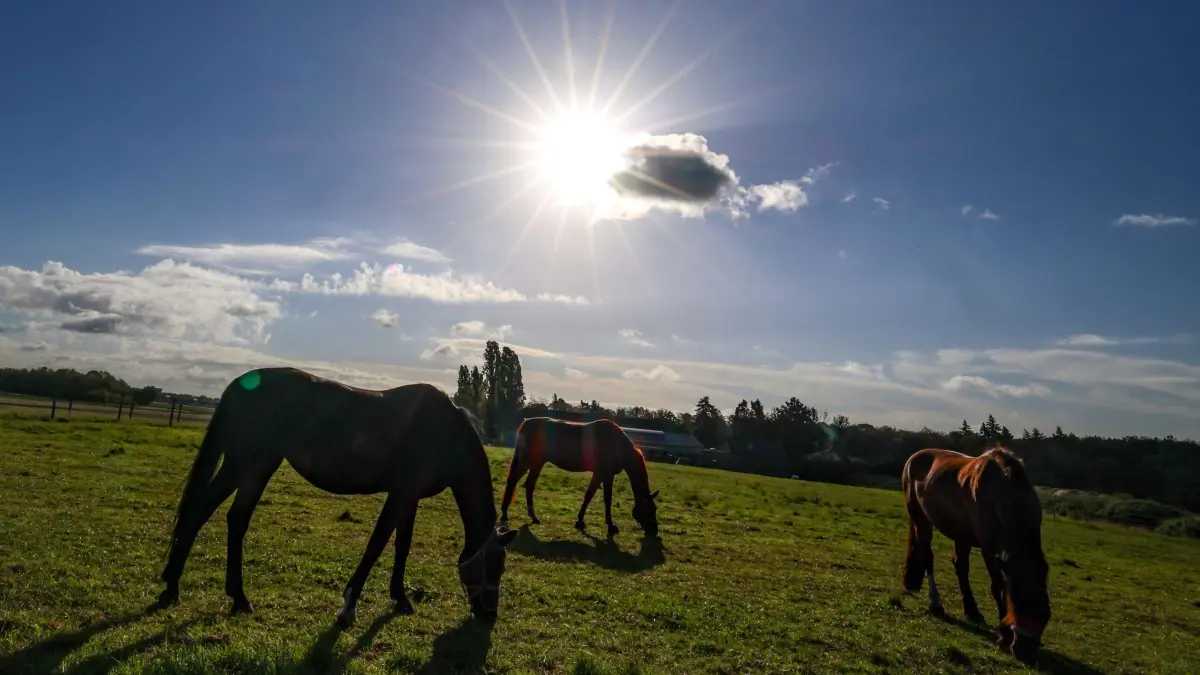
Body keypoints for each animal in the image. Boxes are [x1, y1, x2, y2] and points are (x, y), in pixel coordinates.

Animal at [157, 367, 518, 627]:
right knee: (201, 512)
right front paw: (348, 608)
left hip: (257, 467)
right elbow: (377, 543)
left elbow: (402, 545)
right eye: (495, 566)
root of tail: (239, 385)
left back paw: (232, 597)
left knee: (233, 518)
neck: (444, 431)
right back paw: (174, 589)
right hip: (244, 463)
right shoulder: (401, 493)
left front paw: (401, 599)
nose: (489, 613)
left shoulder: (410, 496)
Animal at [500, 417, 660, 538]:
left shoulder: (606, 475)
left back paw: (533, 516)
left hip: (538, 462)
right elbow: (592, 496)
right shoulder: (602, 473)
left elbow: (603, 498)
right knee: (513, 481)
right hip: (527, 460)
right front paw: (583, 522)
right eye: (651, 509)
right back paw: (504, 514)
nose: (654, 531)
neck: (616, 443)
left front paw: (606, 525)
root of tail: (526, 423)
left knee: (529, 484)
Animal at [901, 446, 1051, 665]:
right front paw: (1004, 635)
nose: (1025, 653)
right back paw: (936, 604)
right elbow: (998, 585)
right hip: (921, 520)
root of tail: (915, 456)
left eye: (1045, 615)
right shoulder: (989, 547)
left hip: (959, 534)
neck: (1003, 490)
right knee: (928, 556)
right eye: (1020, 604)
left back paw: (972, 611)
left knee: (961, 567)